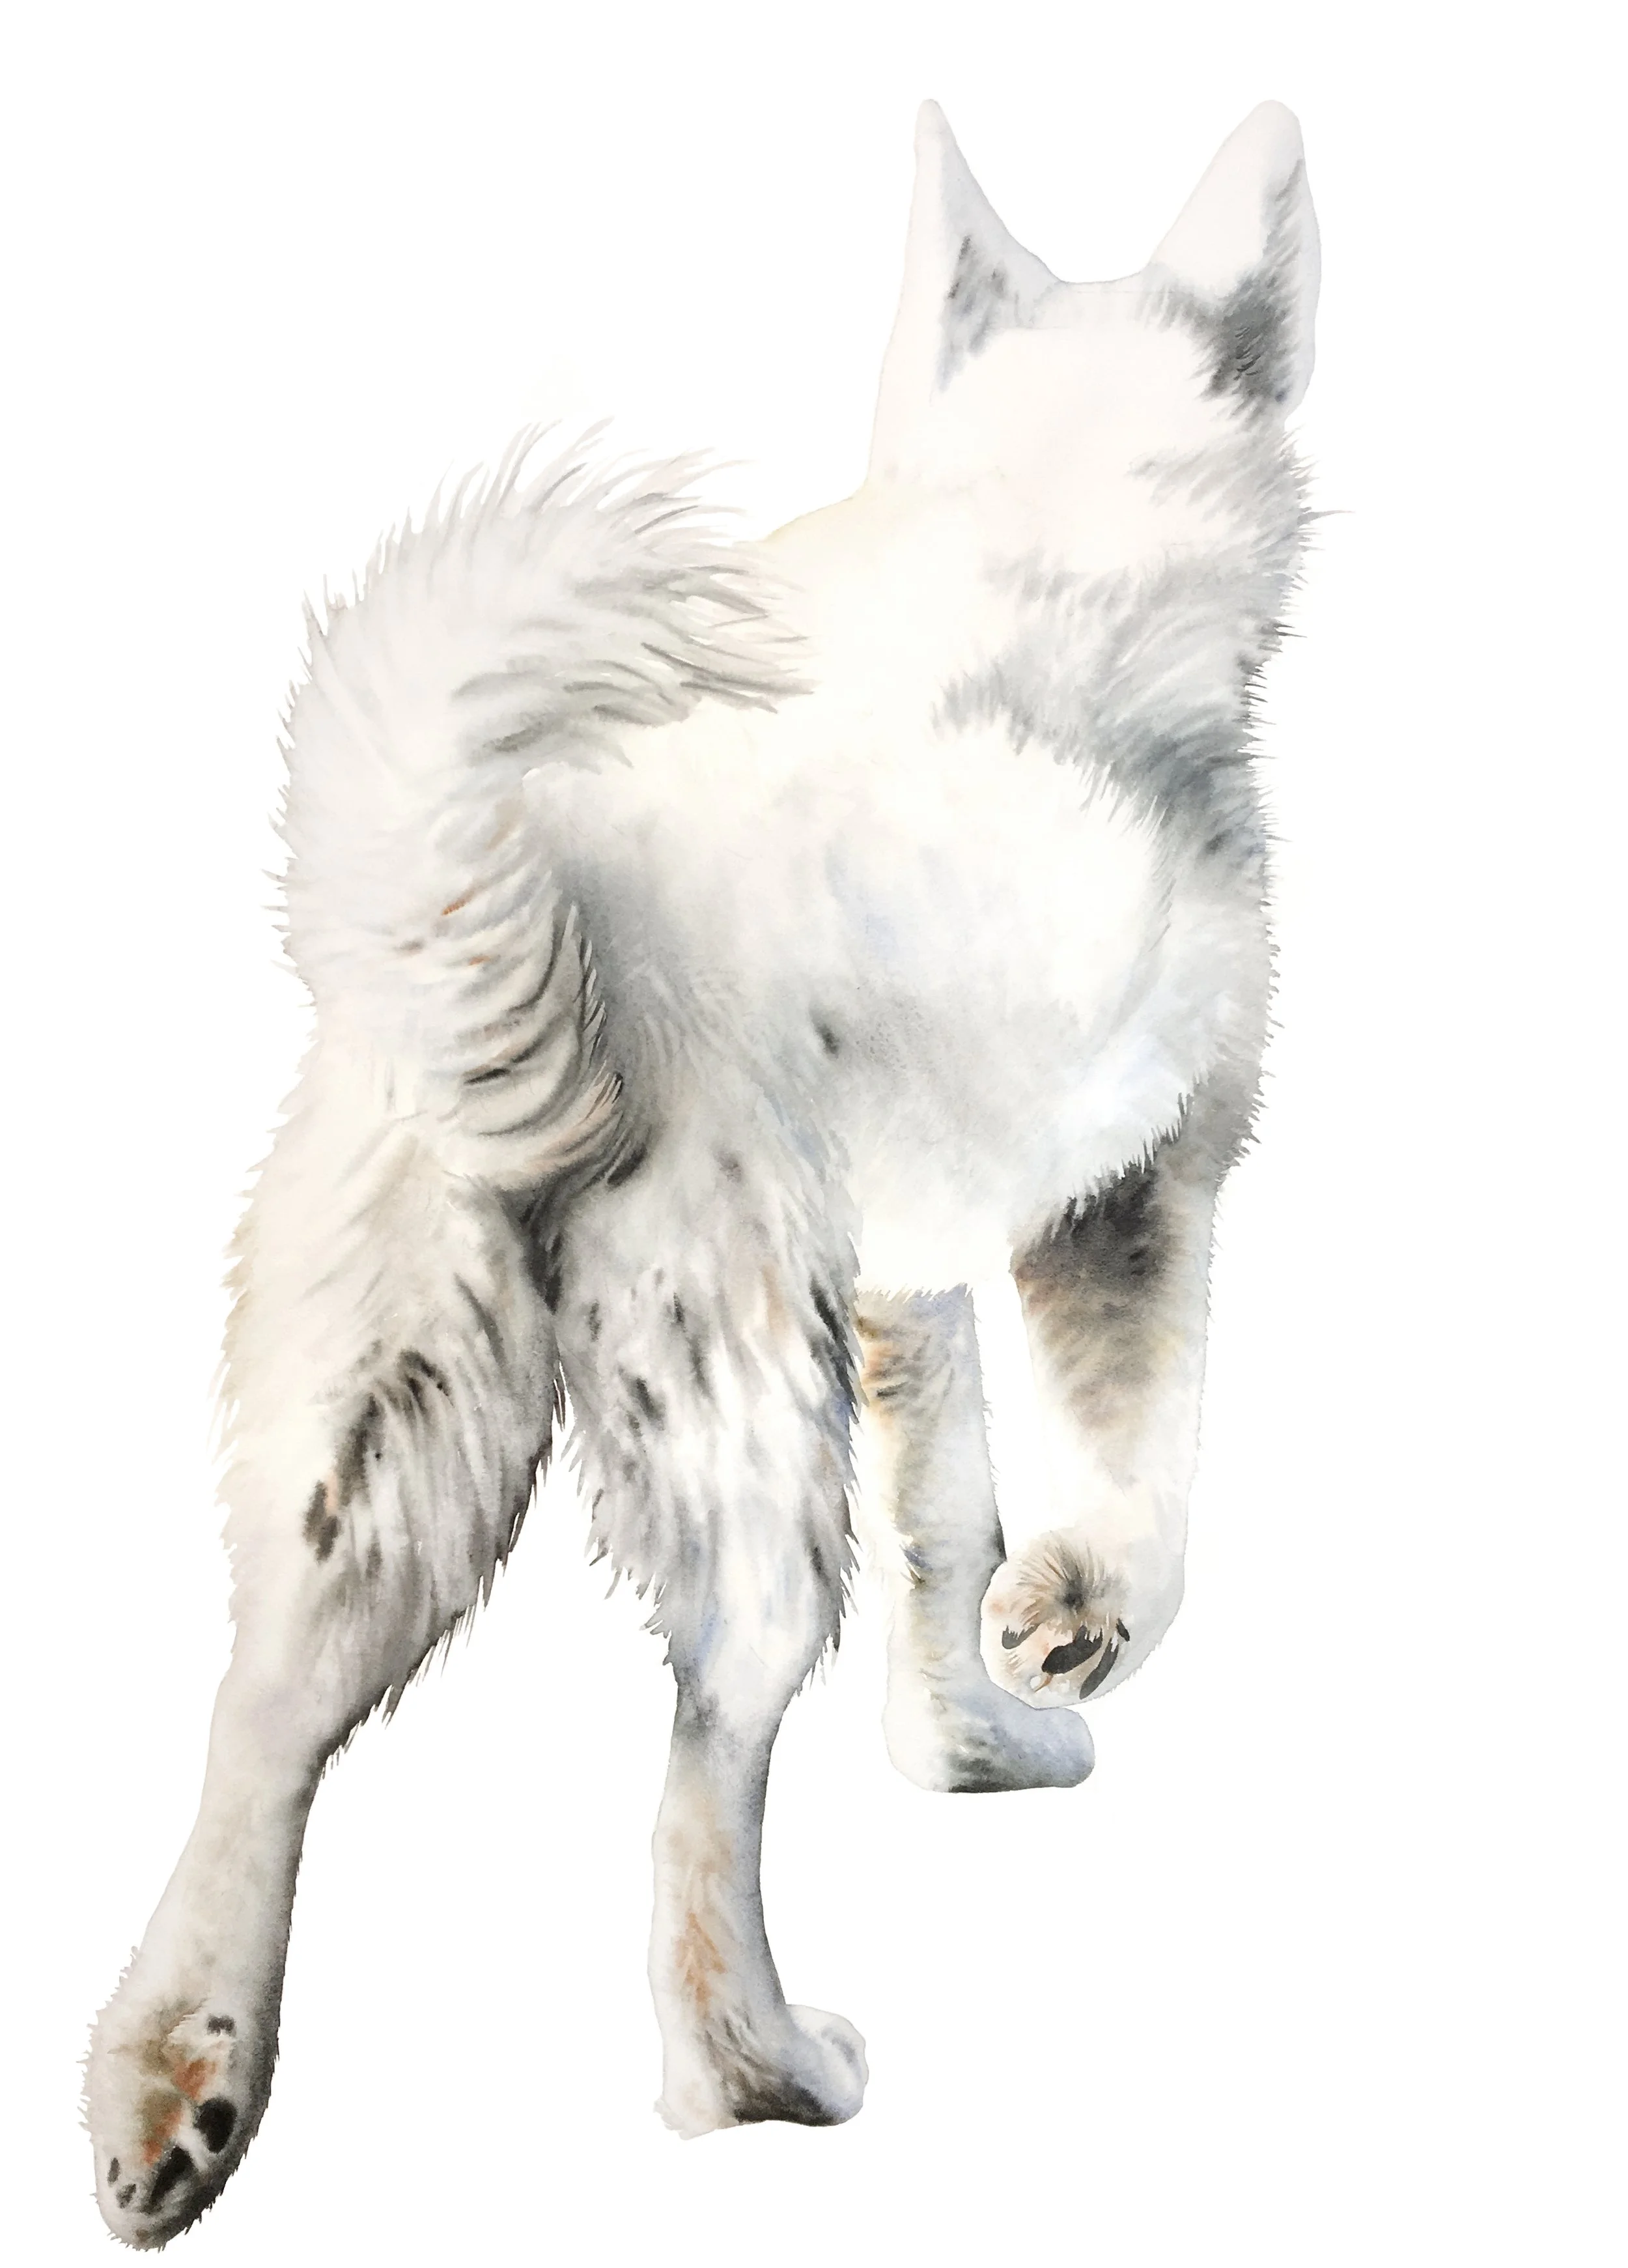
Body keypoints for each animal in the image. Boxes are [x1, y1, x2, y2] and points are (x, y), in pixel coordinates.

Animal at [86, 100, 1316, 2243]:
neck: (1046, 532)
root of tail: (511, 890)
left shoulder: (905, 1279)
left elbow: (945, 1535)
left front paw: (970, 1737)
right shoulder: (1135, 1202)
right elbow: (1140, 1498)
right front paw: (1067, 1629)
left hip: (376, 1447)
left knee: (259, 1718)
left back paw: (176, 2097)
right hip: (733, 1433)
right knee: (696, 1781)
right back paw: (762, 2072)